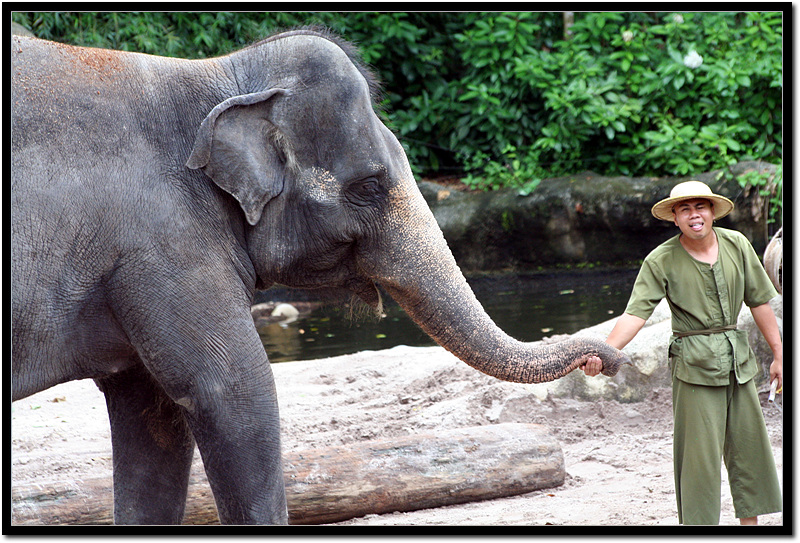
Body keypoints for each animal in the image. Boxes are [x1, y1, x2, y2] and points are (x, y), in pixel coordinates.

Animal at [7, 29, 632, 528]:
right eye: (371, 185)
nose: (605, 359)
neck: (214, 74)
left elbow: (154, 416)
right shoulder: (164, 244)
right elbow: (233, 391)